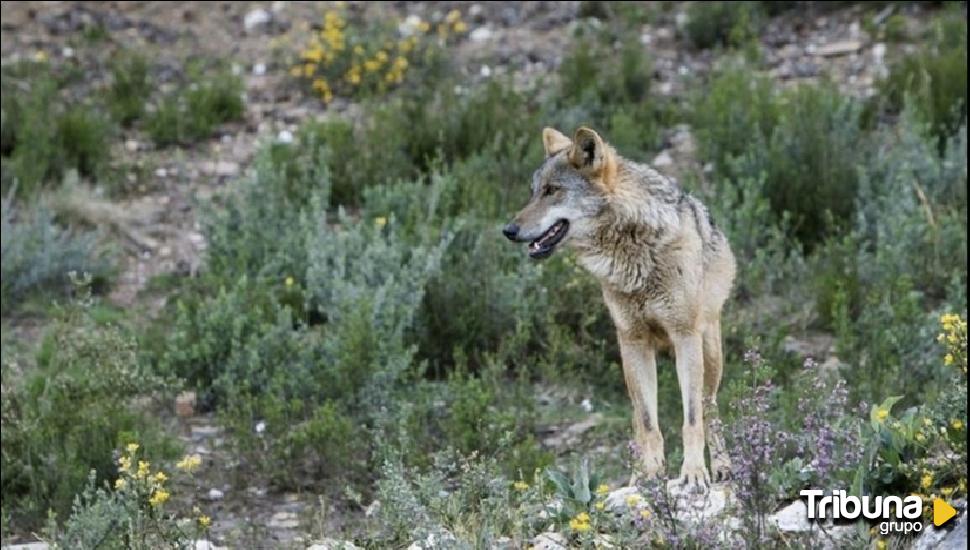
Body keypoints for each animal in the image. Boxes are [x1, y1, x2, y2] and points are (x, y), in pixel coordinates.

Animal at [502, 127, 736, 490]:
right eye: (533, 192)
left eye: (552, 191)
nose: (509, 231)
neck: (633, 249)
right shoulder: (632, 340)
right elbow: (648, 423)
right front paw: (650, 476)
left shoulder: (684, 336)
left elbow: (691, 420)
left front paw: (694, 473)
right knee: (638, 419)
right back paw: (637, 473)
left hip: (709, 353)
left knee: (710, 409)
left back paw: (722, 467)